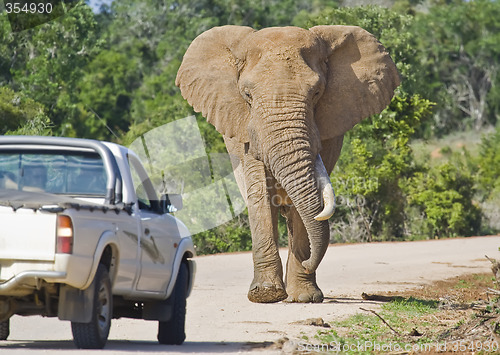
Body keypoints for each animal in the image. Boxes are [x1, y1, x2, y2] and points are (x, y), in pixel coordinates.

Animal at [175, 24, 398, 304]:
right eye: (247, 95)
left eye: (317, 93)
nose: (309, 264)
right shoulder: (246, 132)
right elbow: (259, 193)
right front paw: (265, 295)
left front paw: (304, 297)